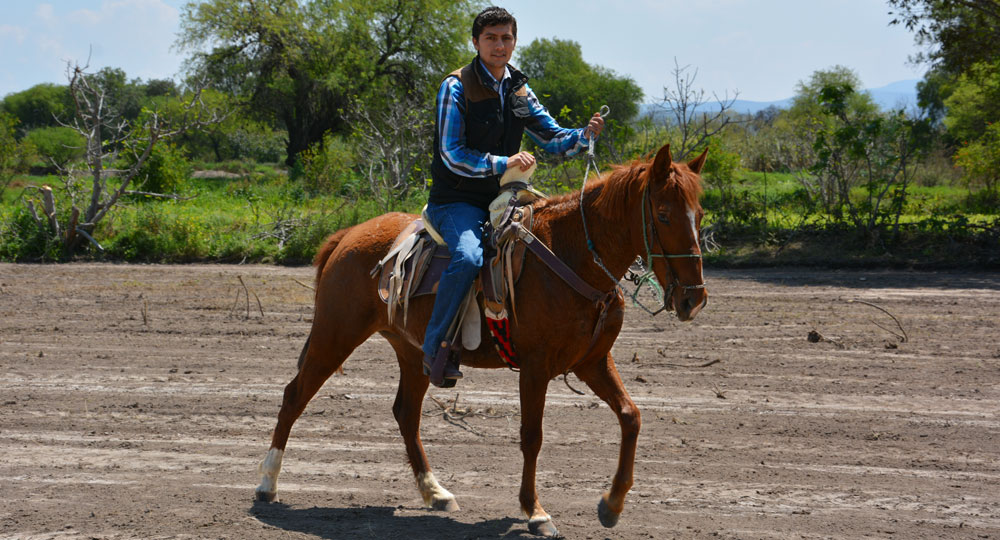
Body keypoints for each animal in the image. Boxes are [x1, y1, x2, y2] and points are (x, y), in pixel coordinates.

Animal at [258, 143, 712, 536]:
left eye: (701, 214)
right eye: (664, 214)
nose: (693, 299)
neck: (572, 256)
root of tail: (348, 235)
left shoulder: (593, 361)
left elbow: (631, 417)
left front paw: (611, 504)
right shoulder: (535, 367)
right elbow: (532, 436)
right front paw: (536, 512)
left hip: (415, 351)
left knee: (406, 412)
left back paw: (435, 491)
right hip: (334, 335)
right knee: (294, 395)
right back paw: (267, 484)